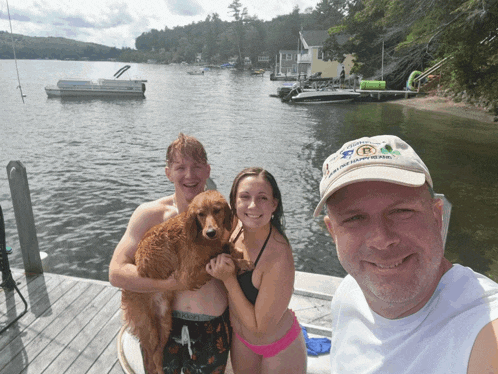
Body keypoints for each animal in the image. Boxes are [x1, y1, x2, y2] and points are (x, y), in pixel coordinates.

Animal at [121, 190, 253, 374]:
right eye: (201, 214)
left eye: (217, 210)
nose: (211, 232)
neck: (199, 236)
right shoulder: (188, 275)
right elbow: (227, 259)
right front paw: (242, 262)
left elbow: (224, 248)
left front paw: (237, 254)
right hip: (148, 328)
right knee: (149, 356)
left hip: (165, 321)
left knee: (157, 355)